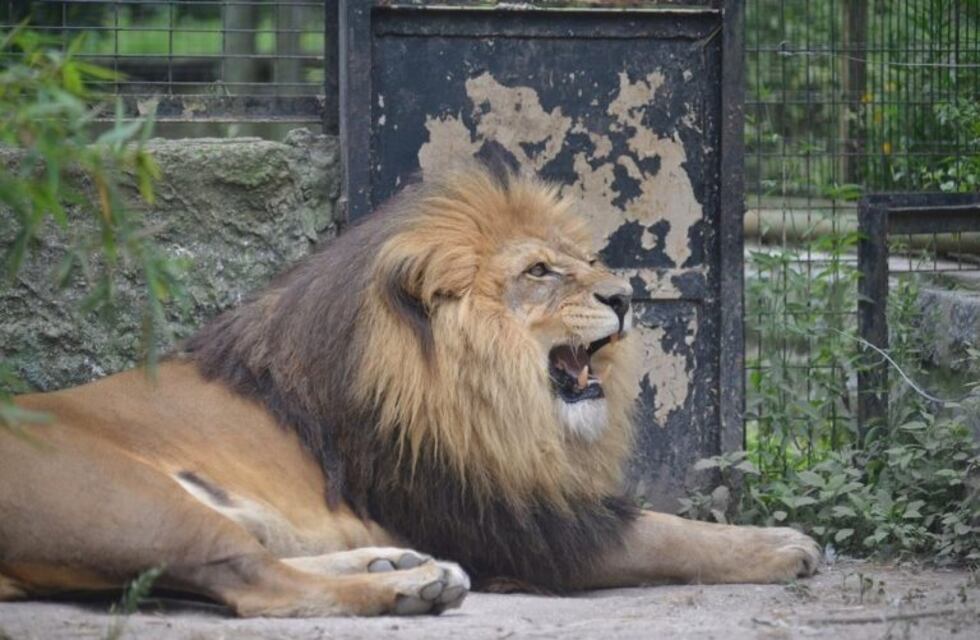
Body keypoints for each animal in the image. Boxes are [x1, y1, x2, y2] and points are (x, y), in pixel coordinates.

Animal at [0, 166, 820, 617]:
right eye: (539, 272)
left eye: (586, 261)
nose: (624, 297)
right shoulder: (513, 523)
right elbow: (670, 532)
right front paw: (782, 545)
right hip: (138, 503)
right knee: (254, 582)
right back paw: (411, 588)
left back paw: (390, 564)